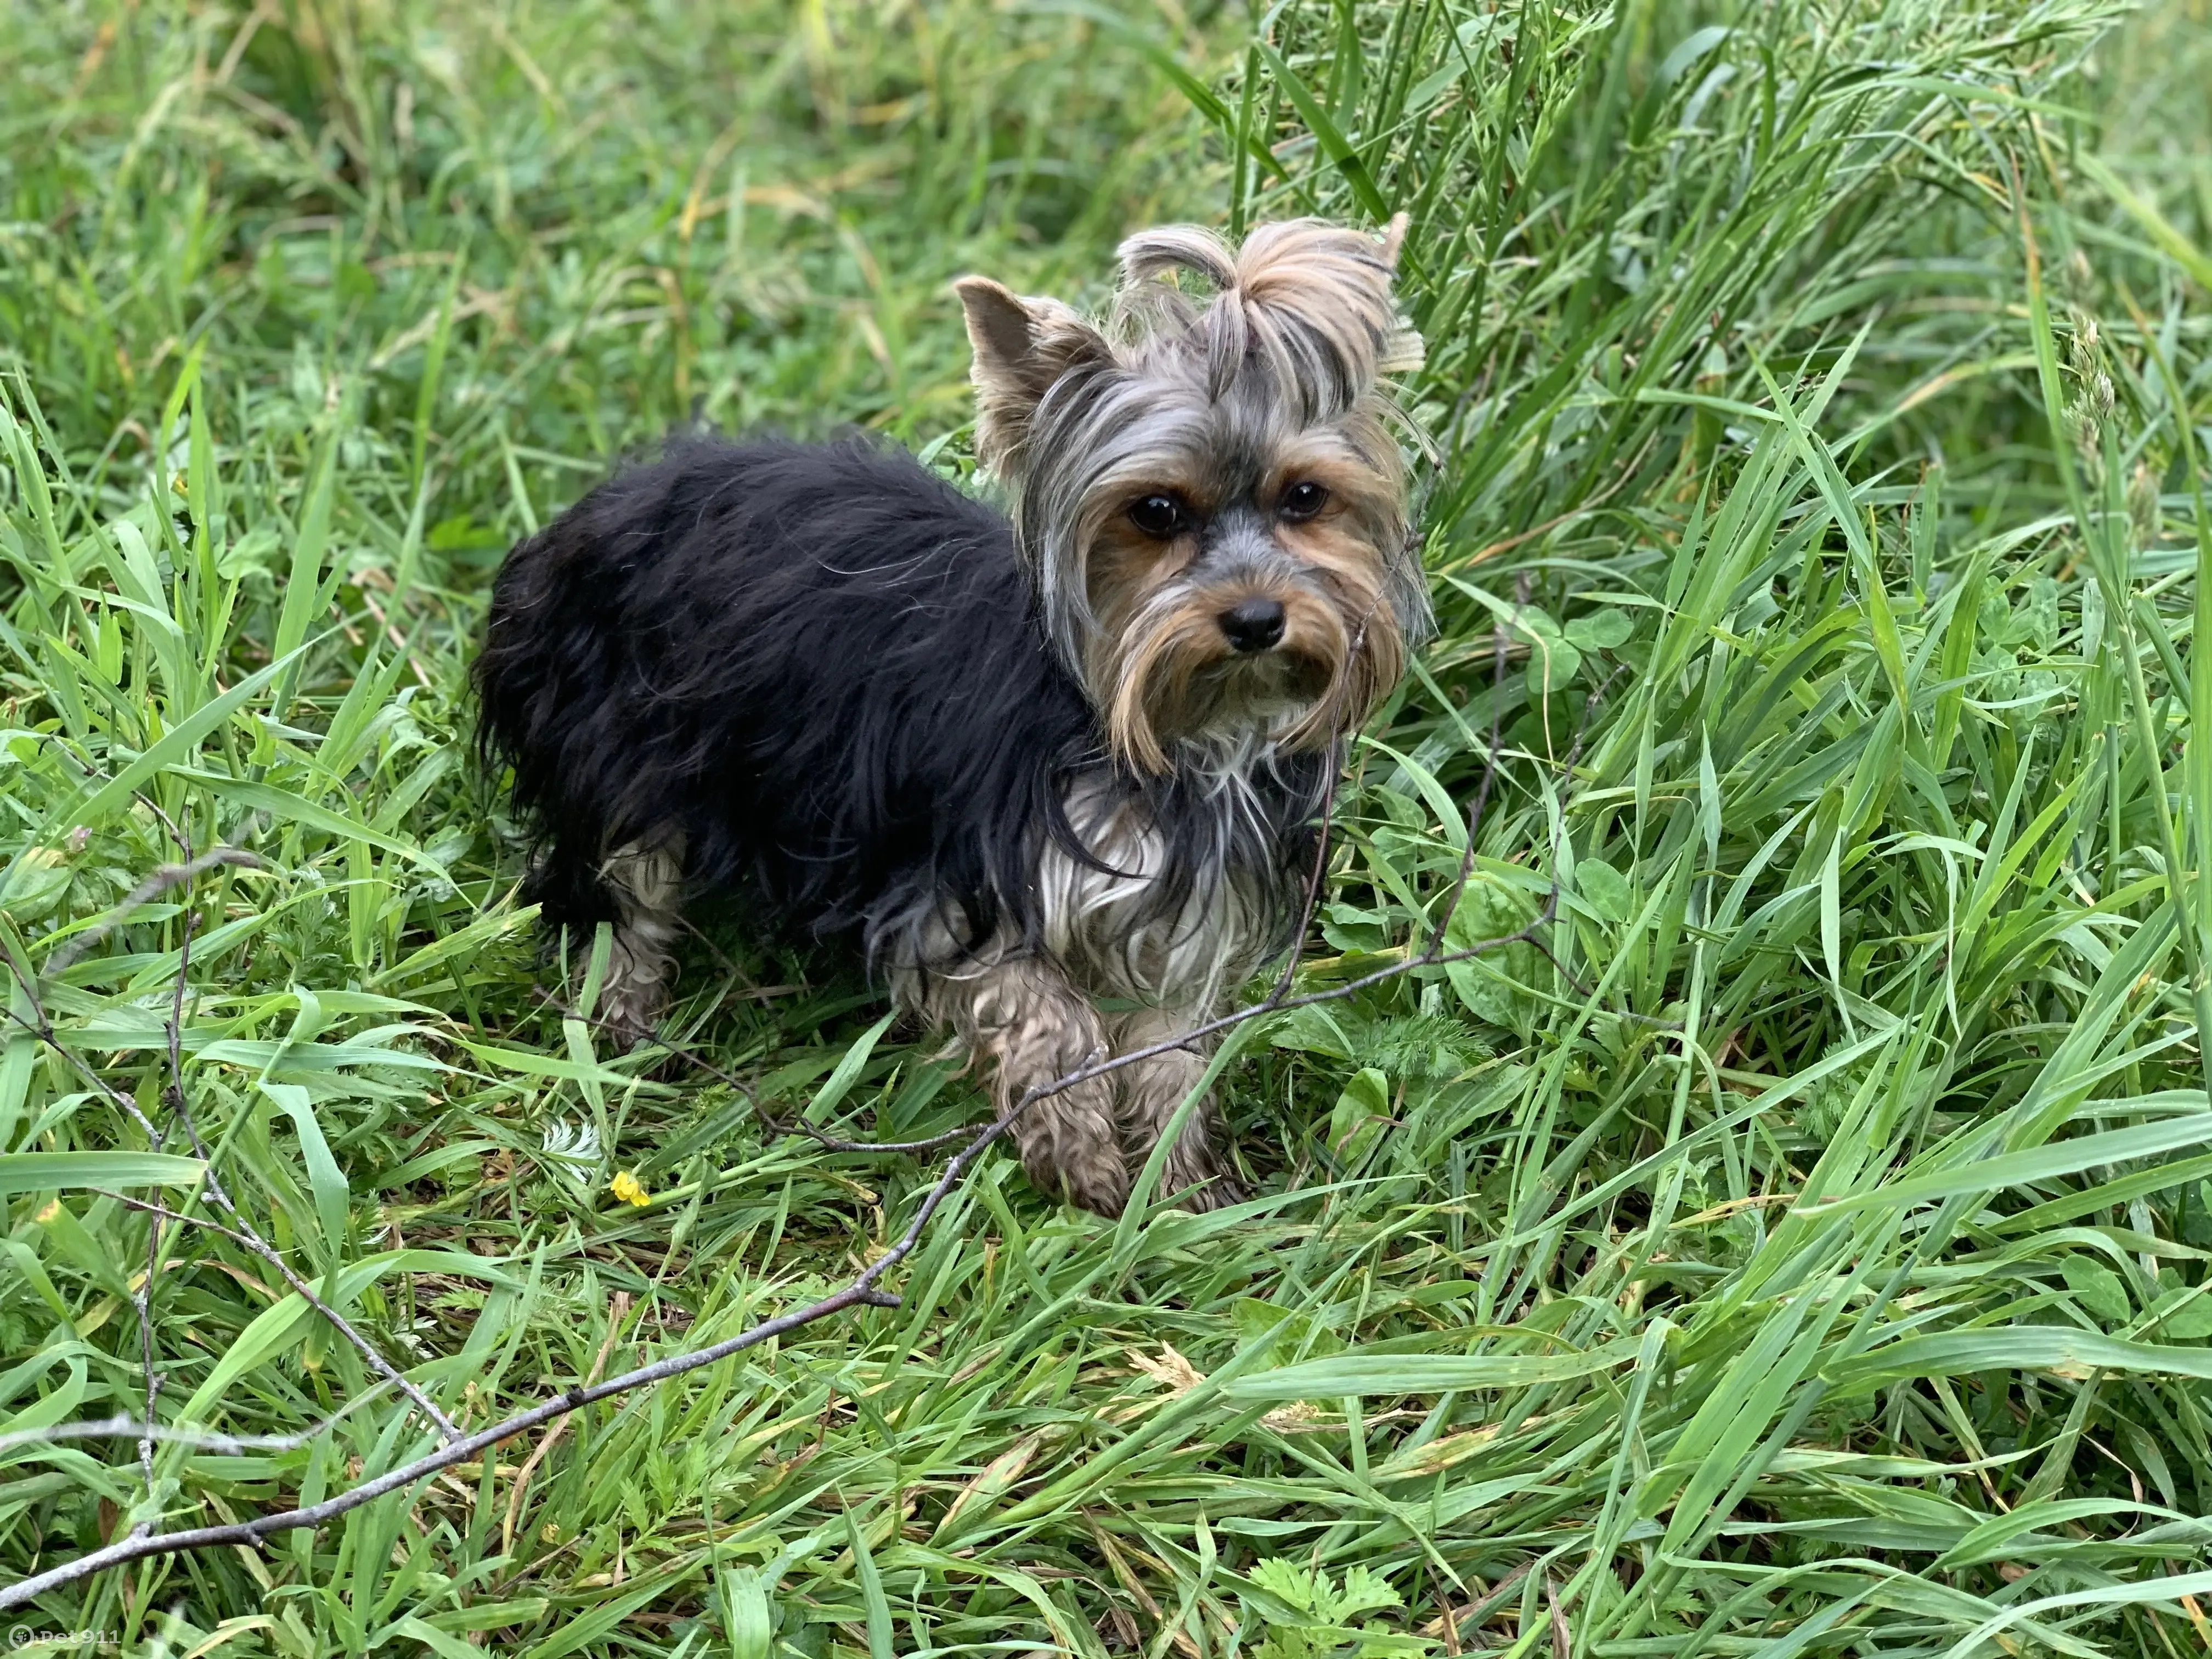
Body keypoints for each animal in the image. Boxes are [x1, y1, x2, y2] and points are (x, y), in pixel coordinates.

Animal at [475, 215, 1424, 1212]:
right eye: (1157, 510)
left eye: (1305, 497)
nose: (1255, 618)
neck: (1168, 729)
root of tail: (596, 509)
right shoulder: (948, 886)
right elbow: (1045, 1010)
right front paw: (1078, 1150)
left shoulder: (1190, 908)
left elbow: (1169, 1051)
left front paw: (1175, 1188)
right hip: (616, 740)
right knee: (622, 897)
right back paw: (624, 1030)